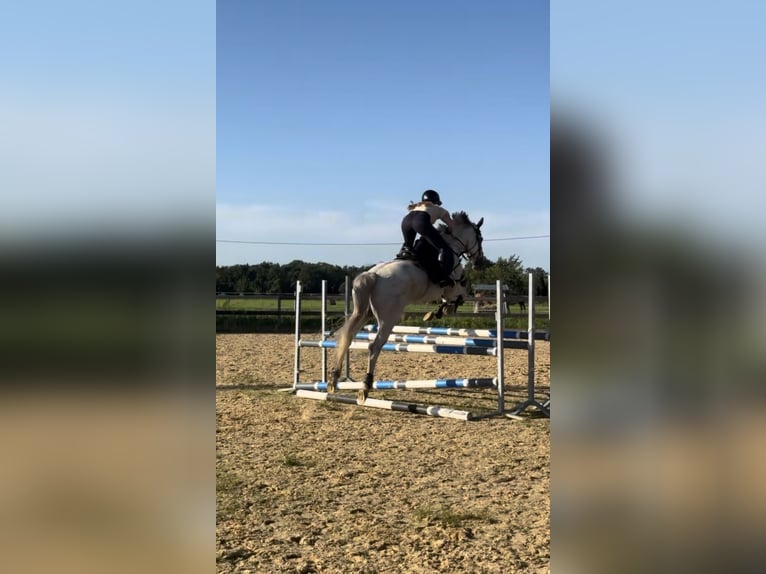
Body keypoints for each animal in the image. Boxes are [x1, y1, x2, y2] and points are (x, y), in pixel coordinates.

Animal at [328, 211, 486, 403]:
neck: (452, 245)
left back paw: (334, 378)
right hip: (389, 319)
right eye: (480, 238)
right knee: (374, 346)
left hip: (365, 313)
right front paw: (443, 310)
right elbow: (459, 294)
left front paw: (436, 312)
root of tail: (373, 275)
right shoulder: (451, 286)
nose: (480, 262)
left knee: (348, 336)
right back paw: (365, 385)